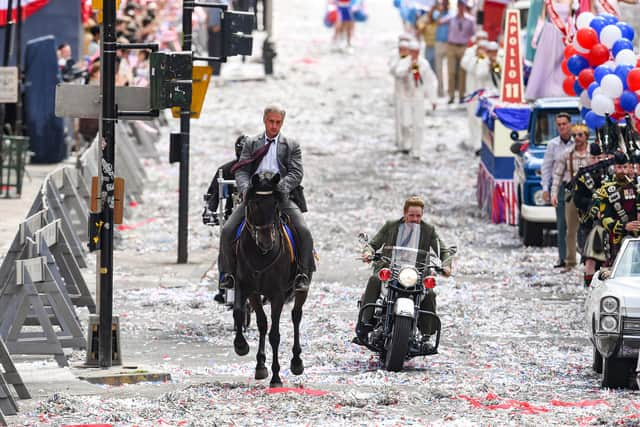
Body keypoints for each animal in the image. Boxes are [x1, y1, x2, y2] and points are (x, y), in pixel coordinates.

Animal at [234, 171, 308, 388]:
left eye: (276, 204)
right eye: (253, 203)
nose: (267, 242)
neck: (261, 254)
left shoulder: (277, 295)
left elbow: (275, 335)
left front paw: (276, 377)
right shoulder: (246, 288)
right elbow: (240, 313)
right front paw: (241, 345)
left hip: (301, 288)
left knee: (296, 316)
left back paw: (297, 362)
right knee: (262, 324)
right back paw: (260, 364)